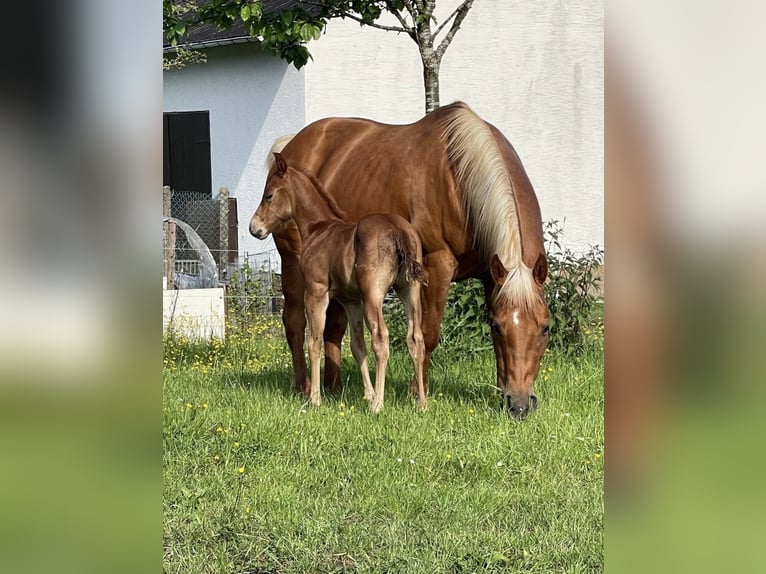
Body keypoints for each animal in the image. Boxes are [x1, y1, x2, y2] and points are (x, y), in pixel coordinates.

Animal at [250, 152, 429, 413]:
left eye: (269, 195)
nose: (254, 228)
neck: (318, 228)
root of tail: (398, 230)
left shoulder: (316, 292)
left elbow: (314, 342)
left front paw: (315, 398)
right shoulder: (351, 301)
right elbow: (357, 346)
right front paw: (367, 394)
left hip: (373, 296)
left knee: (381, 338)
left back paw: (378, 405)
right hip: (409, 290)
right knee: (415, 338)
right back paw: (422, 403)